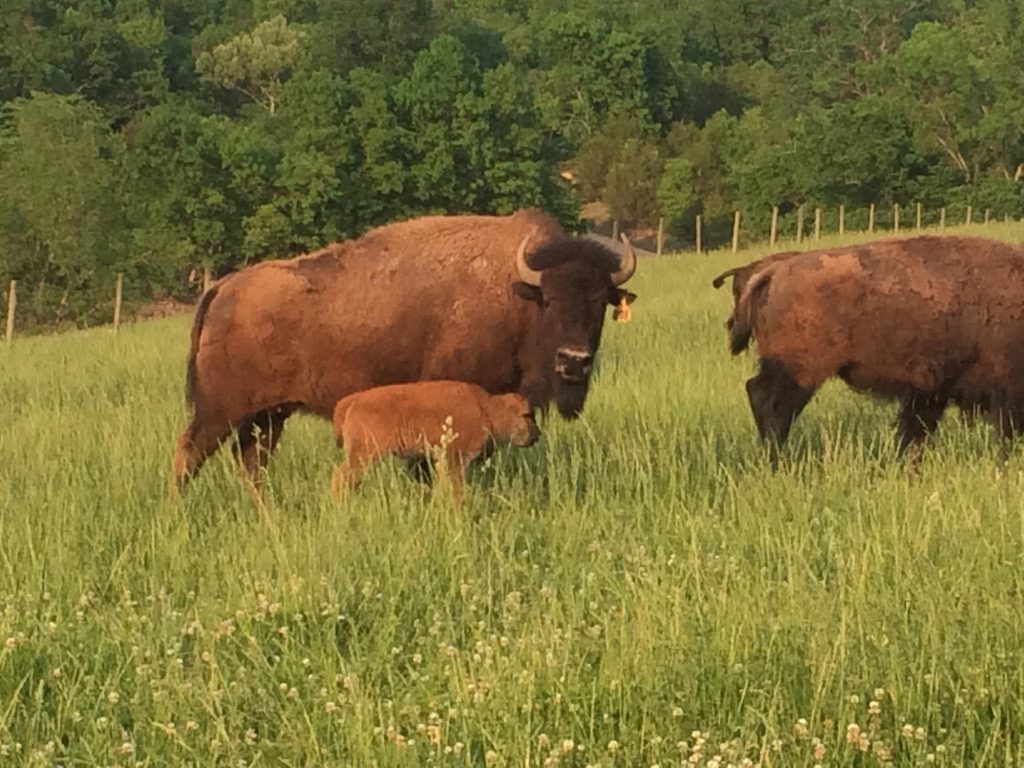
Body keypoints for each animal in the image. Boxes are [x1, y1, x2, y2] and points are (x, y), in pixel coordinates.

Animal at [172, 208, 637, 491]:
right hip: (220, 411)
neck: (516, 291)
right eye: (551, 301)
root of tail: (223, 286)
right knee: (189, 453)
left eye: (600, 301)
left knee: (251, 465)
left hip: (268, 416)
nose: (574, 361)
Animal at [331, 381, 539, 505]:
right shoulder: (455, 459)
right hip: (364, 455)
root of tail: (353, 400)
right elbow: (456, 487)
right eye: (527, 415)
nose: (537, 434)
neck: (487, 409)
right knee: (341, 476)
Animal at [726, 235, 1024, 461]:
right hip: (799, 372)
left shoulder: (930, 392)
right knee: (772, 403)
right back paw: (777, 459)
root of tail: (775, 272)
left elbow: (915, 430)